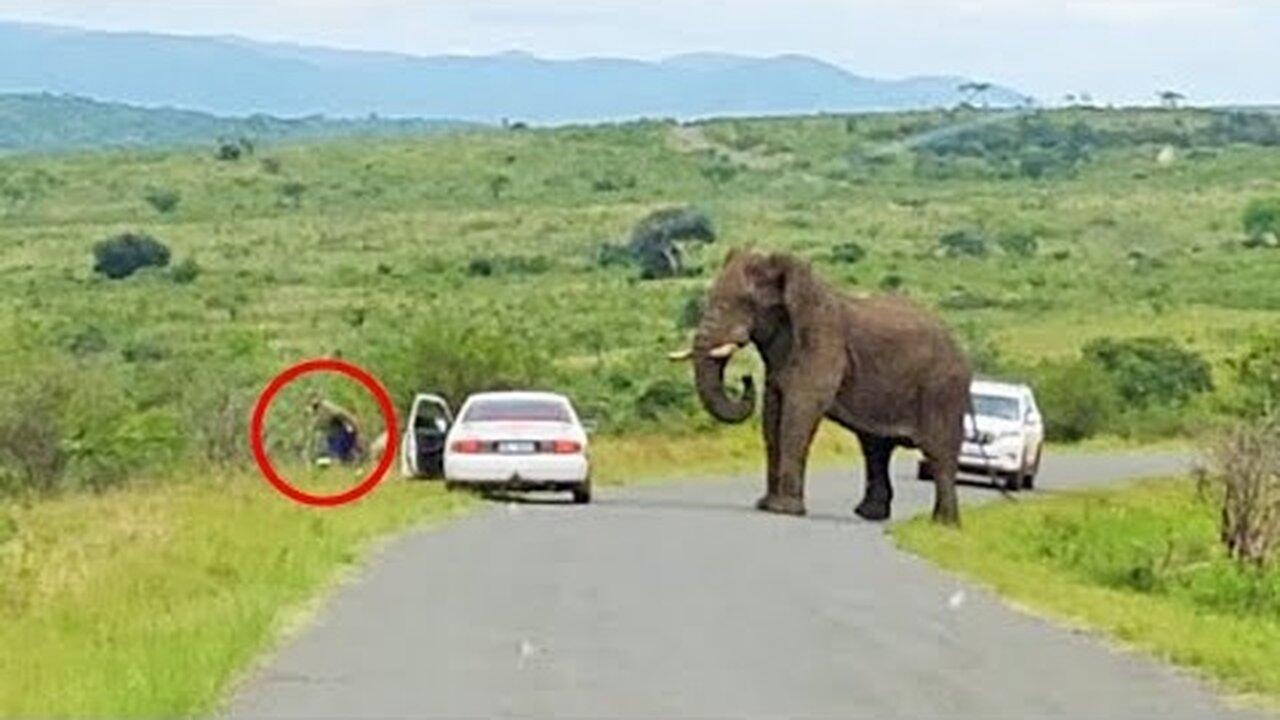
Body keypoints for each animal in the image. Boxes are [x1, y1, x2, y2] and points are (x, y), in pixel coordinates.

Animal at [670, 245, 967, 520]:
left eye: (746, 301)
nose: (745, 379)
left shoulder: (822, 342)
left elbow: (798, 415)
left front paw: (784, 510)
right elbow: (772, 417)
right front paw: (766, 505)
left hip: (943, 388)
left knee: (938, 454)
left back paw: (942, 525)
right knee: (875, 448)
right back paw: (870, 514)